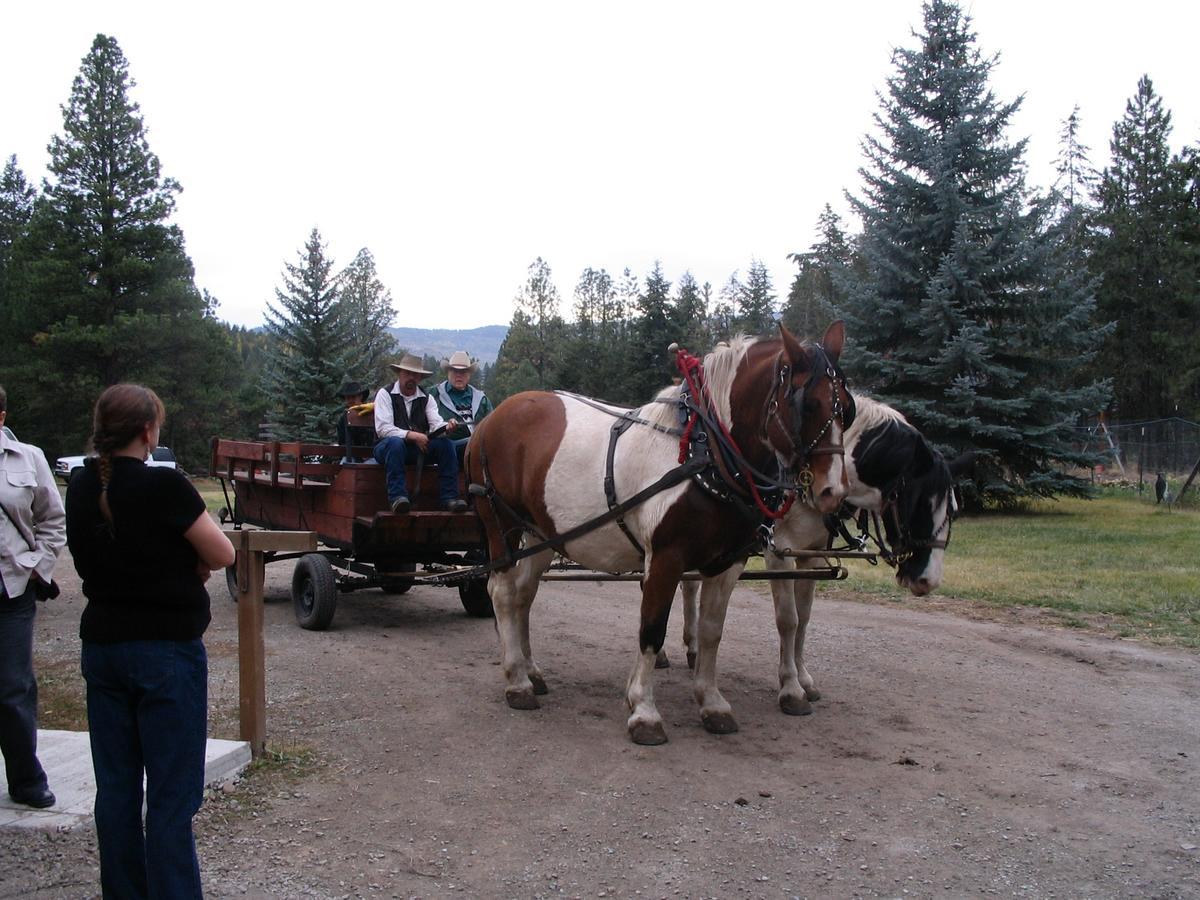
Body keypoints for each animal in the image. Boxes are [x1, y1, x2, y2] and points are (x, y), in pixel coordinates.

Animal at [463, 321, 849, 744]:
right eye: (807, 405)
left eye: (847, 408)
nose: (833, 492)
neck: (706, 450)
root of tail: (490, 419)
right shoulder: (665, 557)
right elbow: (651, 629)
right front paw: (644, 711)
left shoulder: (728, 562)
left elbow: (711, 631)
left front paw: (712, 702)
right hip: (501, 525)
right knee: (502, 592)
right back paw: (517, 682)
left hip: (540, 534)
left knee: (524, 594)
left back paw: (530, 671)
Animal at [681, 396, 969, 724]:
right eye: (922, 504)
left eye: (953, 509)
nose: (927, 580)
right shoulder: (779, 552)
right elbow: (788, 619)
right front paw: (791, 689)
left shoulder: (812, 555)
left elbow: (804, 617)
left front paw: (803, 679)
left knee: (689, 587)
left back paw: (692, 649)